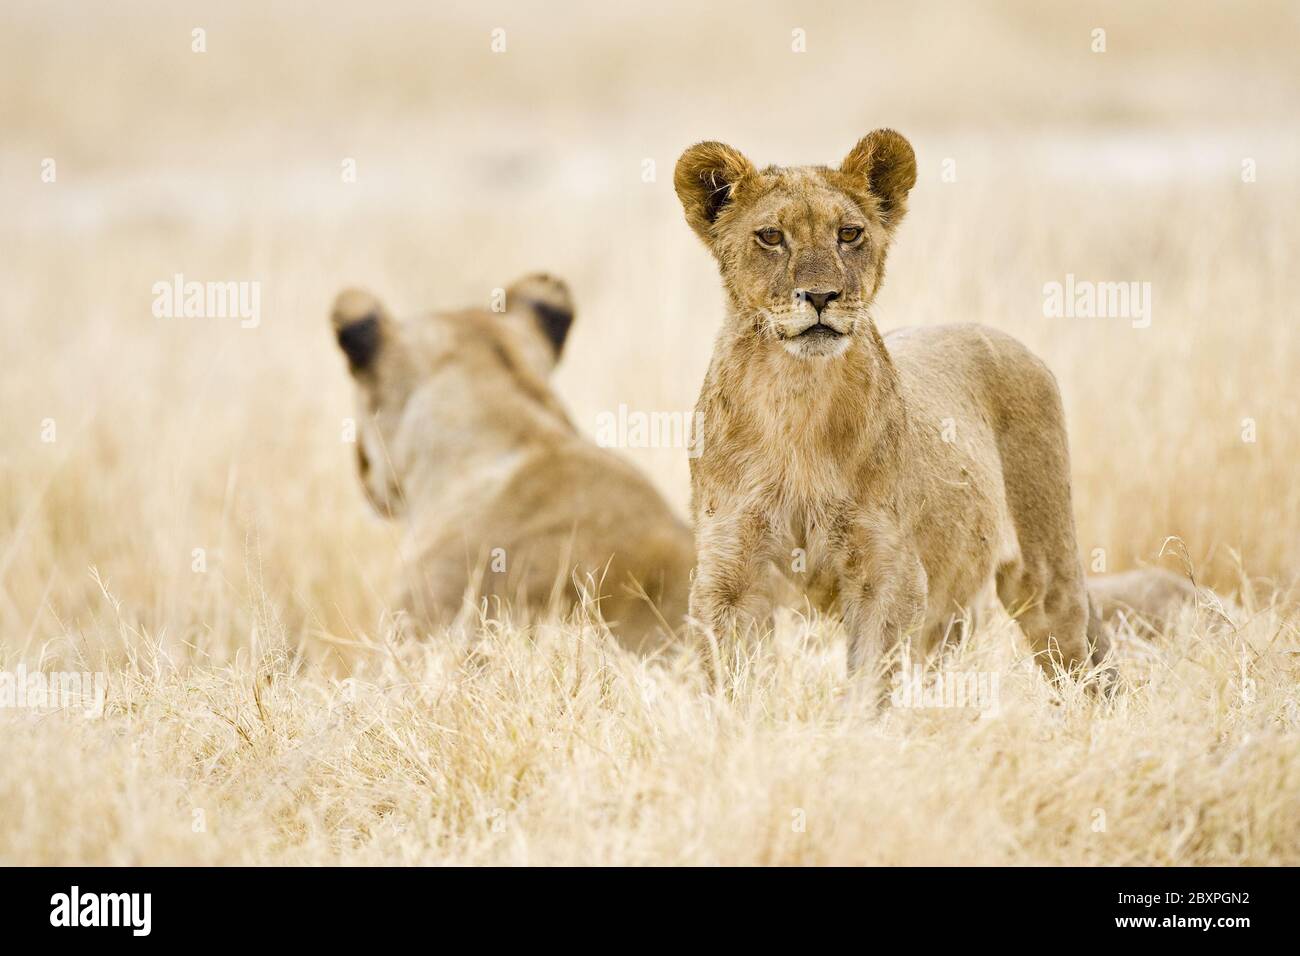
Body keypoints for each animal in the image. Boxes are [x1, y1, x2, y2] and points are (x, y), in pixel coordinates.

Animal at [674, 130, 1110, 684]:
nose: (822, 296)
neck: (796, 398)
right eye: (771, 236)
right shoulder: (726, 573)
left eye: (849, 233)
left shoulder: (890, 571)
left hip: (1045, 569)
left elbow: (869, 681)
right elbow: (731, 681)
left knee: (1080, 655)